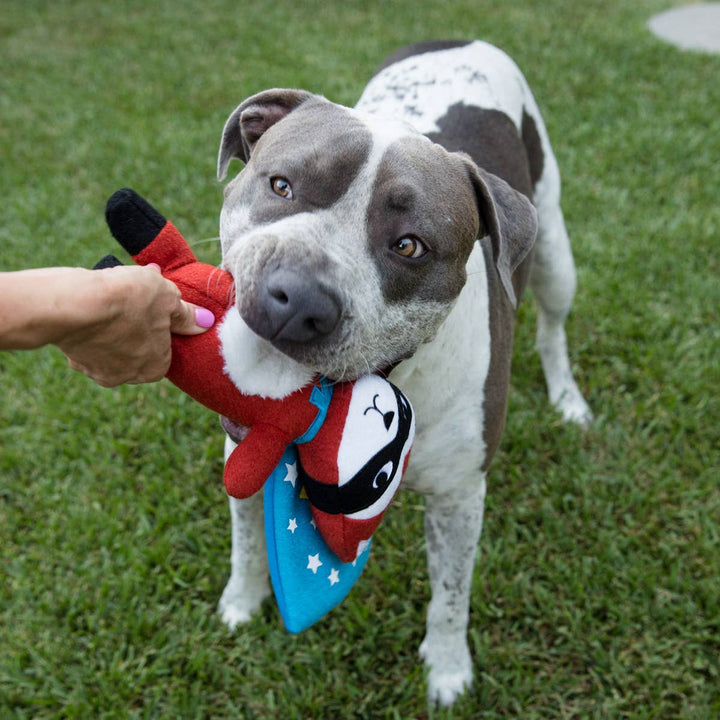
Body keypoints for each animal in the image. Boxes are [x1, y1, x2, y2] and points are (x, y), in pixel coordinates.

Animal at [210, 38, 592, 704]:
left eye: (409, 245)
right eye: (281, 185)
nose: (298, 299)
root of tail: (460, 37)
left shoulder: (459, 494)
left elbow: (451, 594)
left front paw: (447, 670)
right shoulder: (243, 450)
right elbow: (247, 536)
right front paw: (242, 600)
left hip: (553, 251)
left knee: (552, 328)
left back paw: (567, 399)